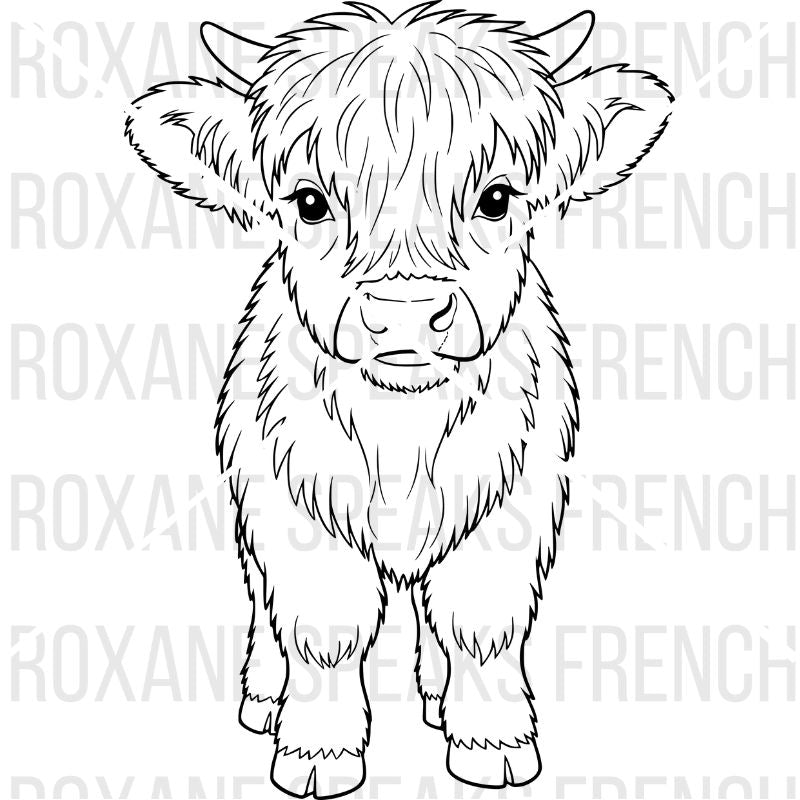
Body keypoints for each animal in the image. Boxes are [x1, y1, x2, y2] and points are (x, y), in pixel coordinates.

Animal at [125, 3, 672, 796]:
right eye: (310, 202)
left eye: (496, 198)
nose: (405, 313)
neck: (402, 430)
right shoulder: (296, 512)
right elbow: (324, 634)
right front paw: (316, 754)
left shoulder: (509, 508)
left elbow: (482, 625)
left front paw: (493, 743)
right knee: (262, 603)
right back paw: (263, 695)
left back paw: (437, 694)